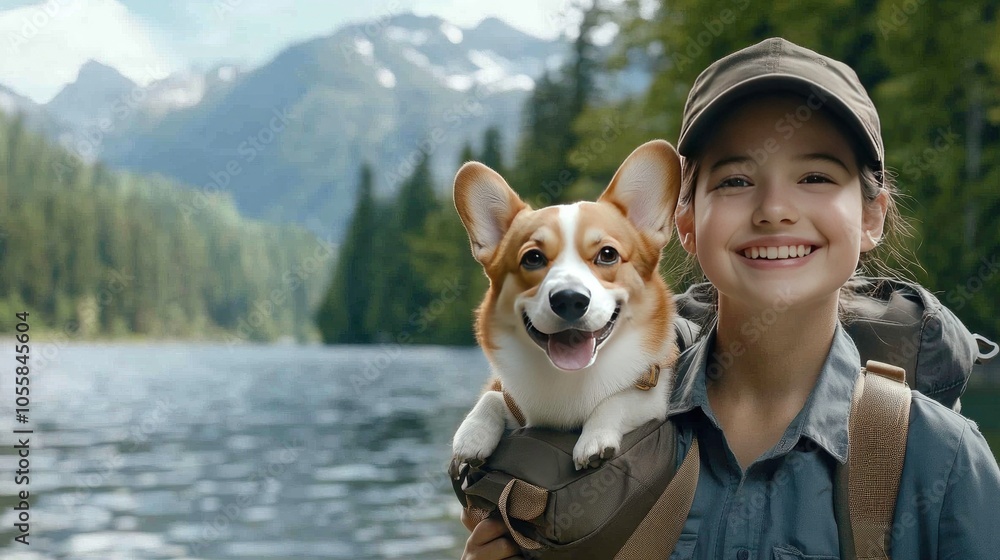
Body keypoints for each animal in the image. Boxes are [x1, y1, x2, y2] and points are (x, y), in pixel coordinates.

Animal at [452, 138, 680, 470]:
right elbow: (493, 396)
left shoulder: (652, 393)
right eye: (532, 258)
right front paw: (471, 434)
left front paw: (594, 440)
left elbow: (618, 400)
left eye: (608, 254)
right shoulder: (511, 397)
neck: (570, 378)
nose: (570, 299)